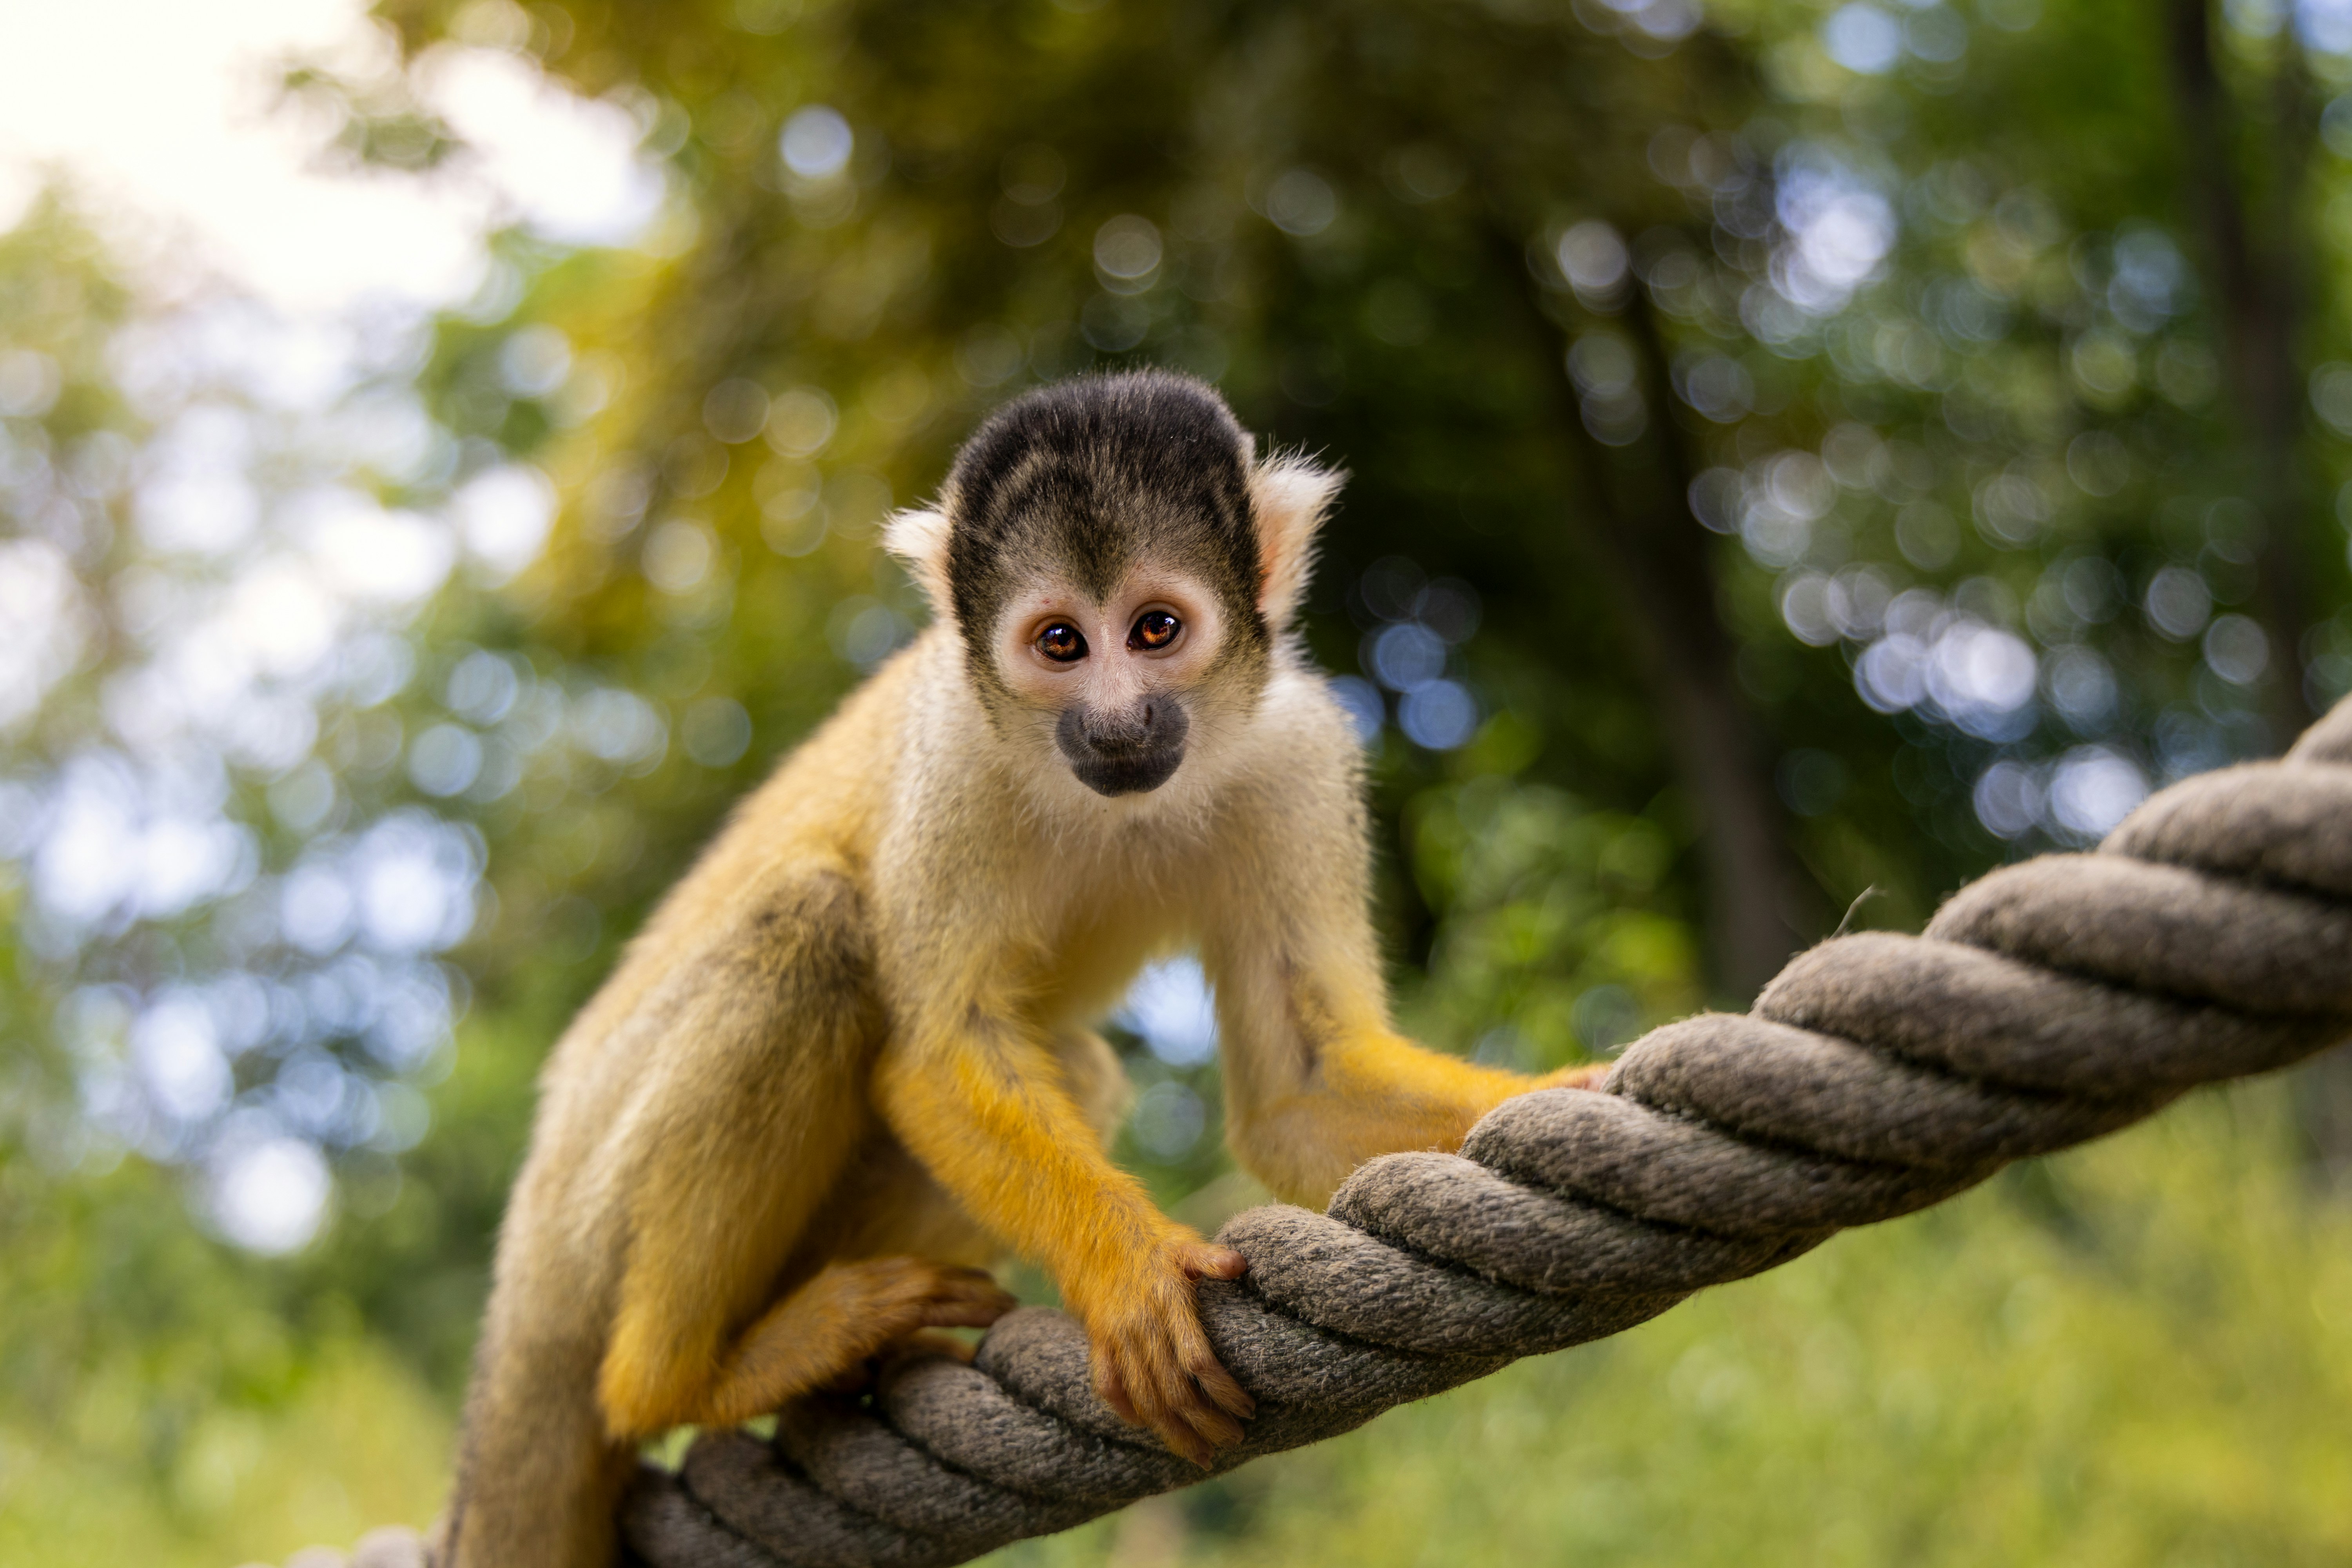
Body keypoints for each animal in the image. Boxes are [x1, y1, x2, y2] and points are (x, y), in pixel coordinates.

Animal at [440, 369, 1605, 1567]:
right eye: (1059, 644)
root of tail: (523, 1270)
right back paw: (683, 1375)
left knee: (1067, 1064)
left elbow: (1303, 1088)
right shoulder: (956, 752)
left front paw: (1574, 1091)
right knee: (809, 925)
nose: (1116, 722)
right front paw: (1128, 1273)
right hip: (595, 1203)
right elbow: (934, 1055)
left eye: (1155, 629)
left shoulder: (1297, 753)